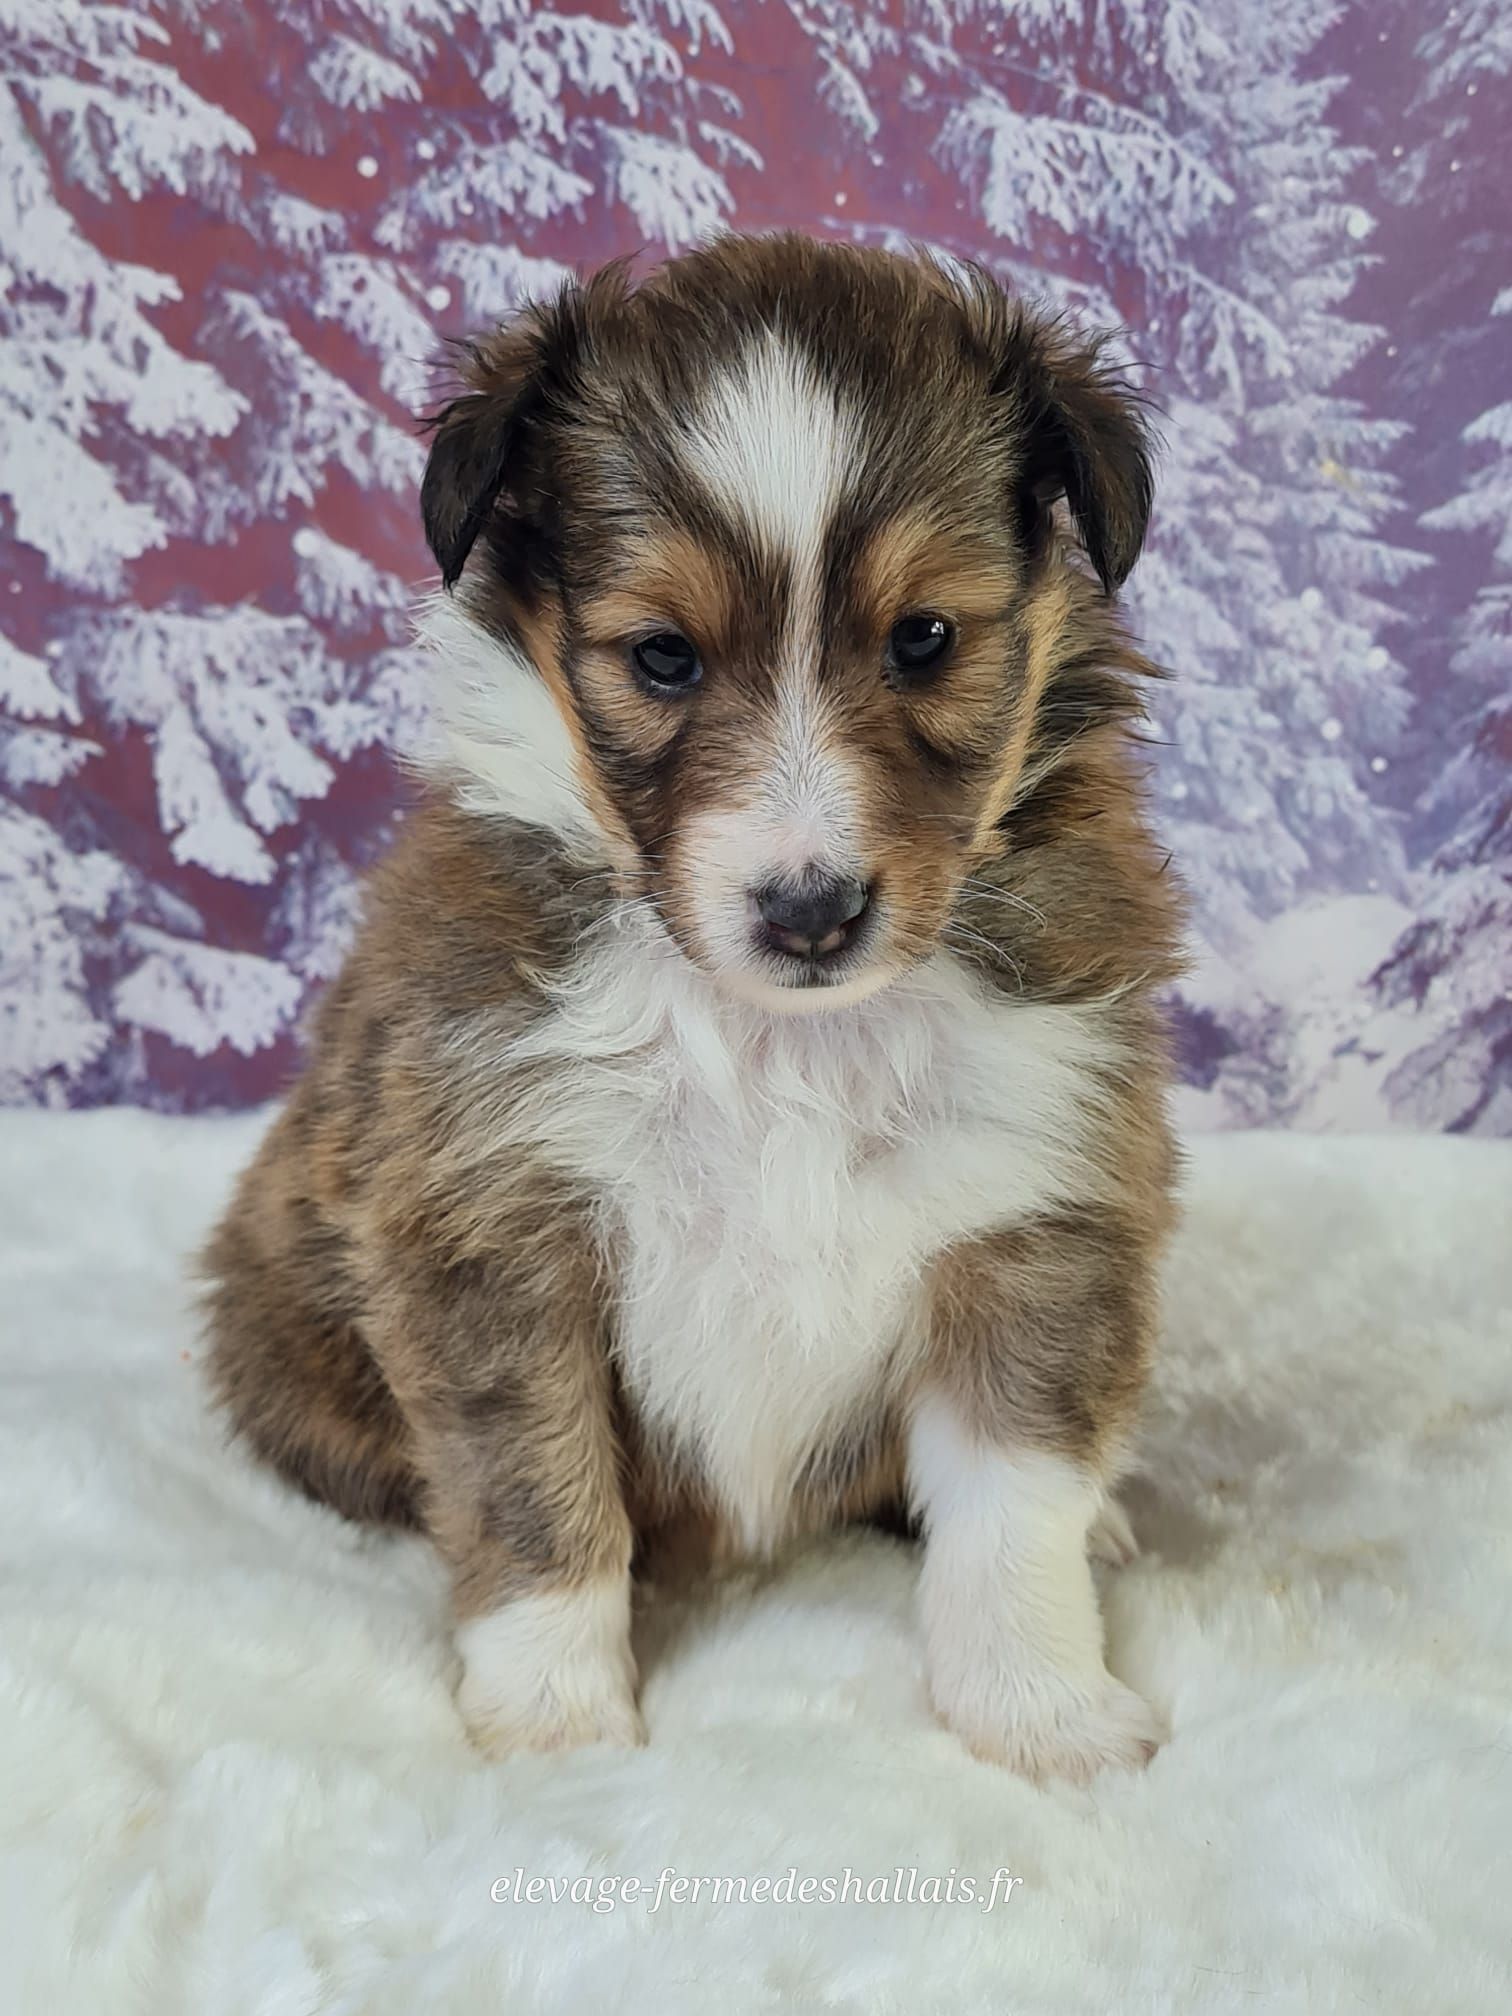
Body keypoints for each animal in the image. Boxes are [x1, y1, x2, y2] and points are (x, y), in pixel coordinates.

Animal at [203, 233, 1183, 1784]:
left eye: (924, 639)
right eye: (662, 656)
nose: (811, 912)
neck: (783, 1034)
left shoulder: (1035, 1214)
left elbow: (1012, 1508)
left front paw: (1042, 1712)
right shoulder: (496, 1234)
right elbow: (533, 1492)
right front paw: (557, 1720)